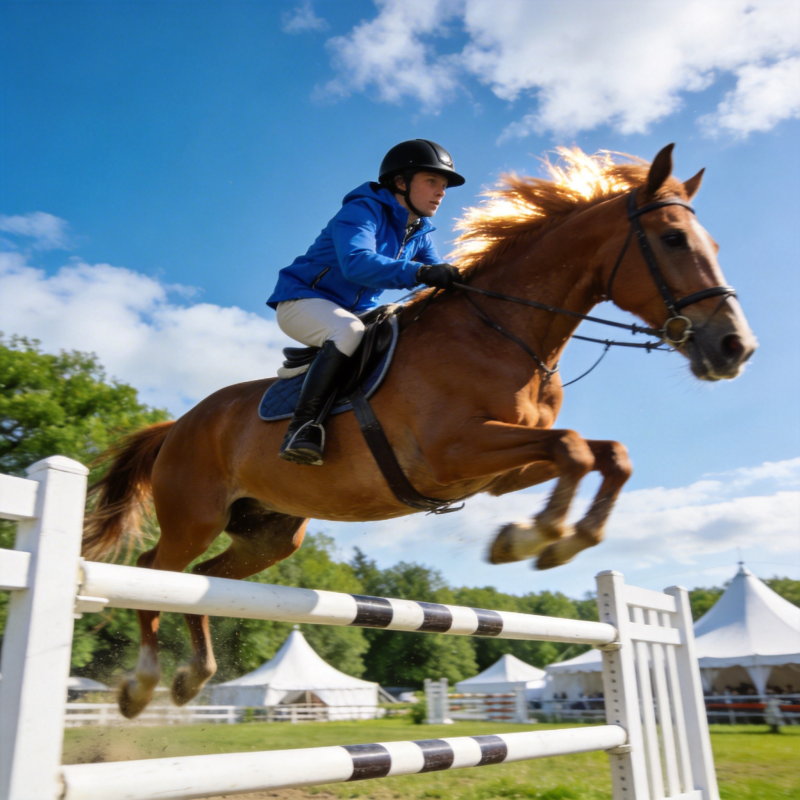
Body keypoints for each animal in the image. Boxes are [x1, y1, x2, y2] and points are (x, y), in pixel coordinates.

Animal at [83, 144, 756, 718]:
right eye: (673, 239)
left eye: (714, 242)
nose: (735, 348)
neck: (505, 333)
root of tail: (180, 424)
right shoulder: (453, 452)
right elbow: (573, 447)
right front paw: (539, 539)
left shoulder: (499, 469)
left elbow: (604, 453)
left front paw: (545, 539)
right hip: (193, 517)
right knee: (153, 569)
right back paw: (142, 686)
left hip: (269, 536)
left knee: (200, 583)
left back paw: (191, 677)